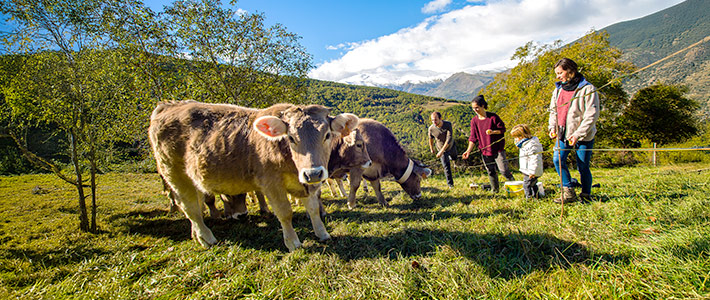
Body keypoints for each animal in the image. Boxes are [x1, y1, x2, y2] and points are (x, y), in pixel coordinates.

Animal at [151, 101, 362, 251]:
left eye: (327, 135)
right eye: (291, 137)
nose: (313, 172)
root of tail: (167, 105)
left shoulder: (305, 184)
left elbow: (313, 209)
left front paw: (322, 233)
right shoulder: (271, 183)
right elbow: (285, 213)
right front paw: (293, 242)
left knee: (195, 205)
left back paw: (197, 235)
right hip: (174, 174)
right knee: (190, 207)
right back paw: (207, 238)